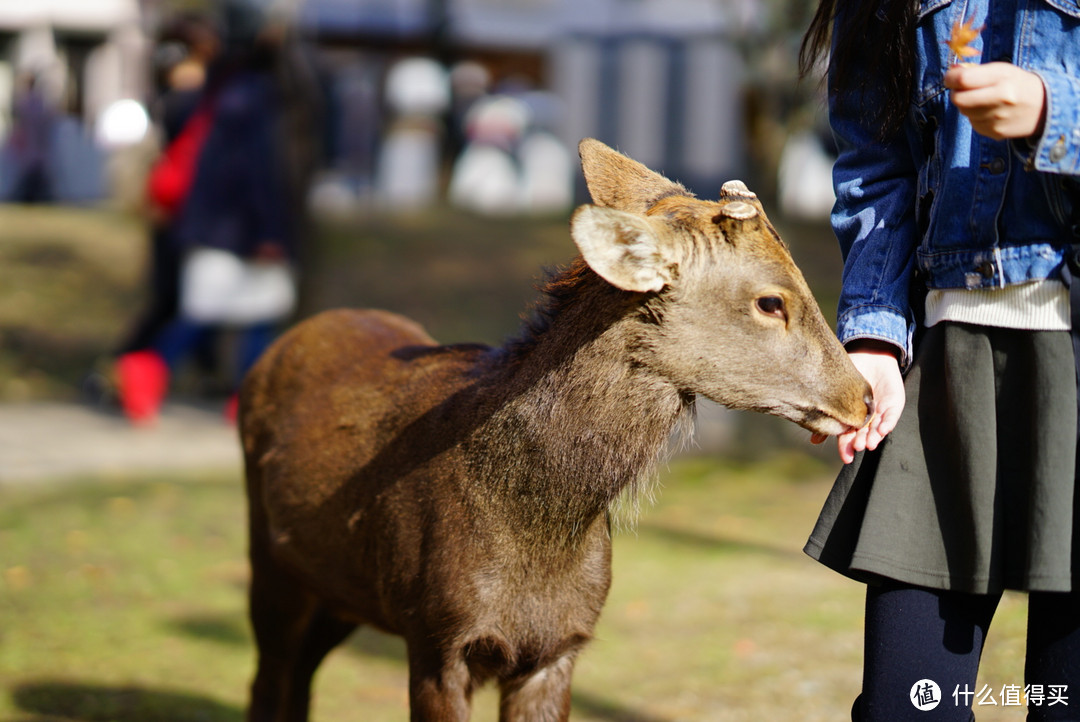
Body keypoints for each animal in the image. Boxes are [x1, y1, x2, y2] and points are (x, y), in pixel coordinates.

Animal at [240, 138, 872, 716]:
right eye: (771, 302)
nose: (864, 396)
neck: (538, 531)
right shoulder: (436, 633)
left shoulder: (561, 644)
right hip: (270, 565)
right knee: (269, 680)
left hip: (335, 591)